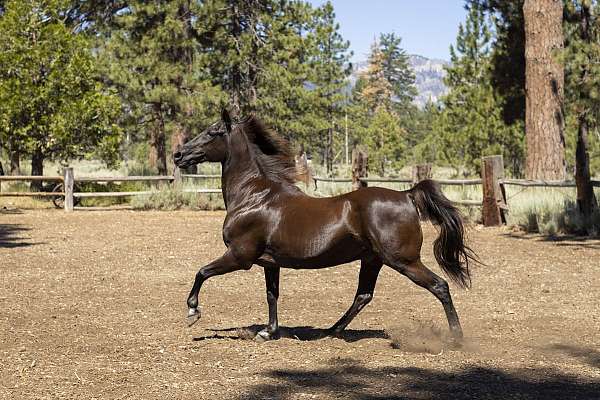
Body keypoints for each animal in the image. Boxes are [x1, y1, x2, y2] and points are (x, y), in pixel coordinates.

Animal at [173, 110, 478, 344]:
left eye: (212, 132)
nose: (178, 155)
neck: (253, 196)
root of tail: (407, 195)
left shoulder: (240, 256)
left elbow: (202, 272)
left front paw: (192, 313)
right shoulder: (270, 262)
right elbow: (272, 295)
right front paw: (268, 332)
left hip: (403, 260)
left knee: (440, 286)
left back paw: (457, 338)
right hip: (373, 259)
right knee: (363, 296)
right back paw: (329, 331)